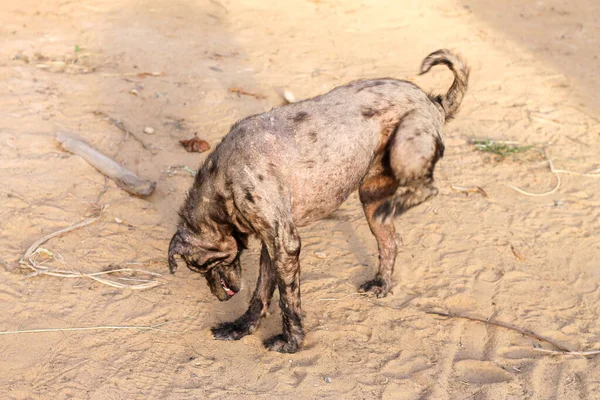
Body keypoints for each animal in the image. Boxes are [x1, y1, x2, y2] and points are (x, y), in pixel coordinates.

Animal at [168, 50, 468, 354]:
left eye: (199, 266)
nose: (220, 298)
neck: (223, 182)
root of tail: (433, 101)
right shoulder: (272, 244)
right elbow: (261, 293)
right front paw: (241, 328)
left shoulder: (286, 246)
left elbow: (288, 300)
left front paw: (290, 342)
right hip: (371, 194)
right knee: (391, 243)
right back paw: (381, 284)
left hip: (403, 151)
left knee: (428, 189)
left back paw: (398, 206)